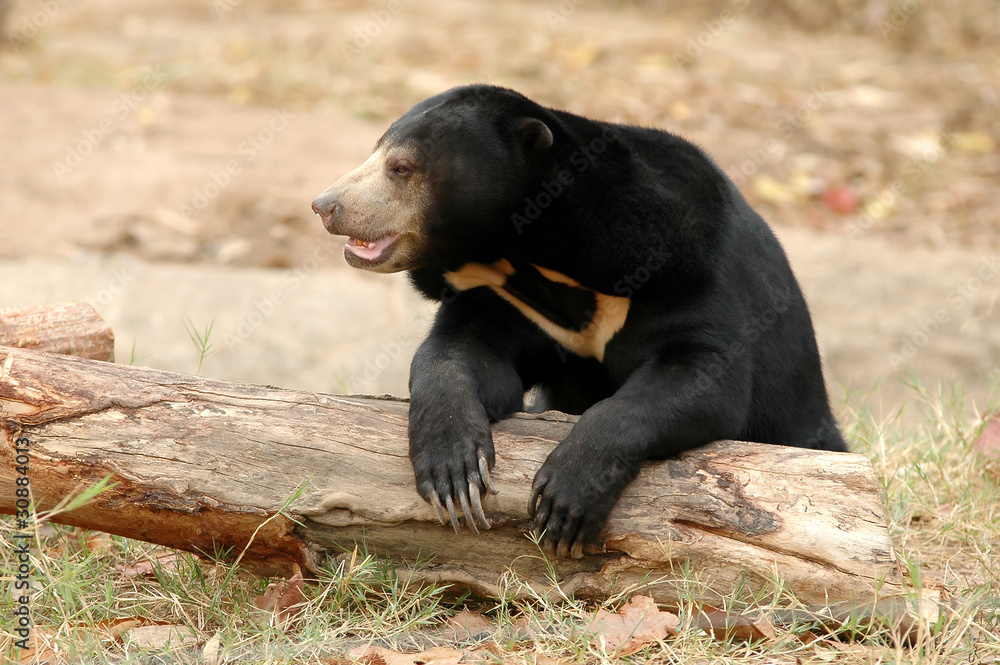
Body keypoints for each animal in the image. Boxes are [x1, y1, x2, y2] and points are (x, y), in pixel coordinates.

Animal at [310, 85, 844, 556]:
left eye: (401, 167)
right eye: (375, 153)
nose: (325, 205)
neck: (530, 257)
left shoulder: (688, 269)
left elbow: (702, 376)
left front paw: (564, 498)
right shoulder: (502, 301)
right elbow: (459, 355)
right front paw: (454, 473)